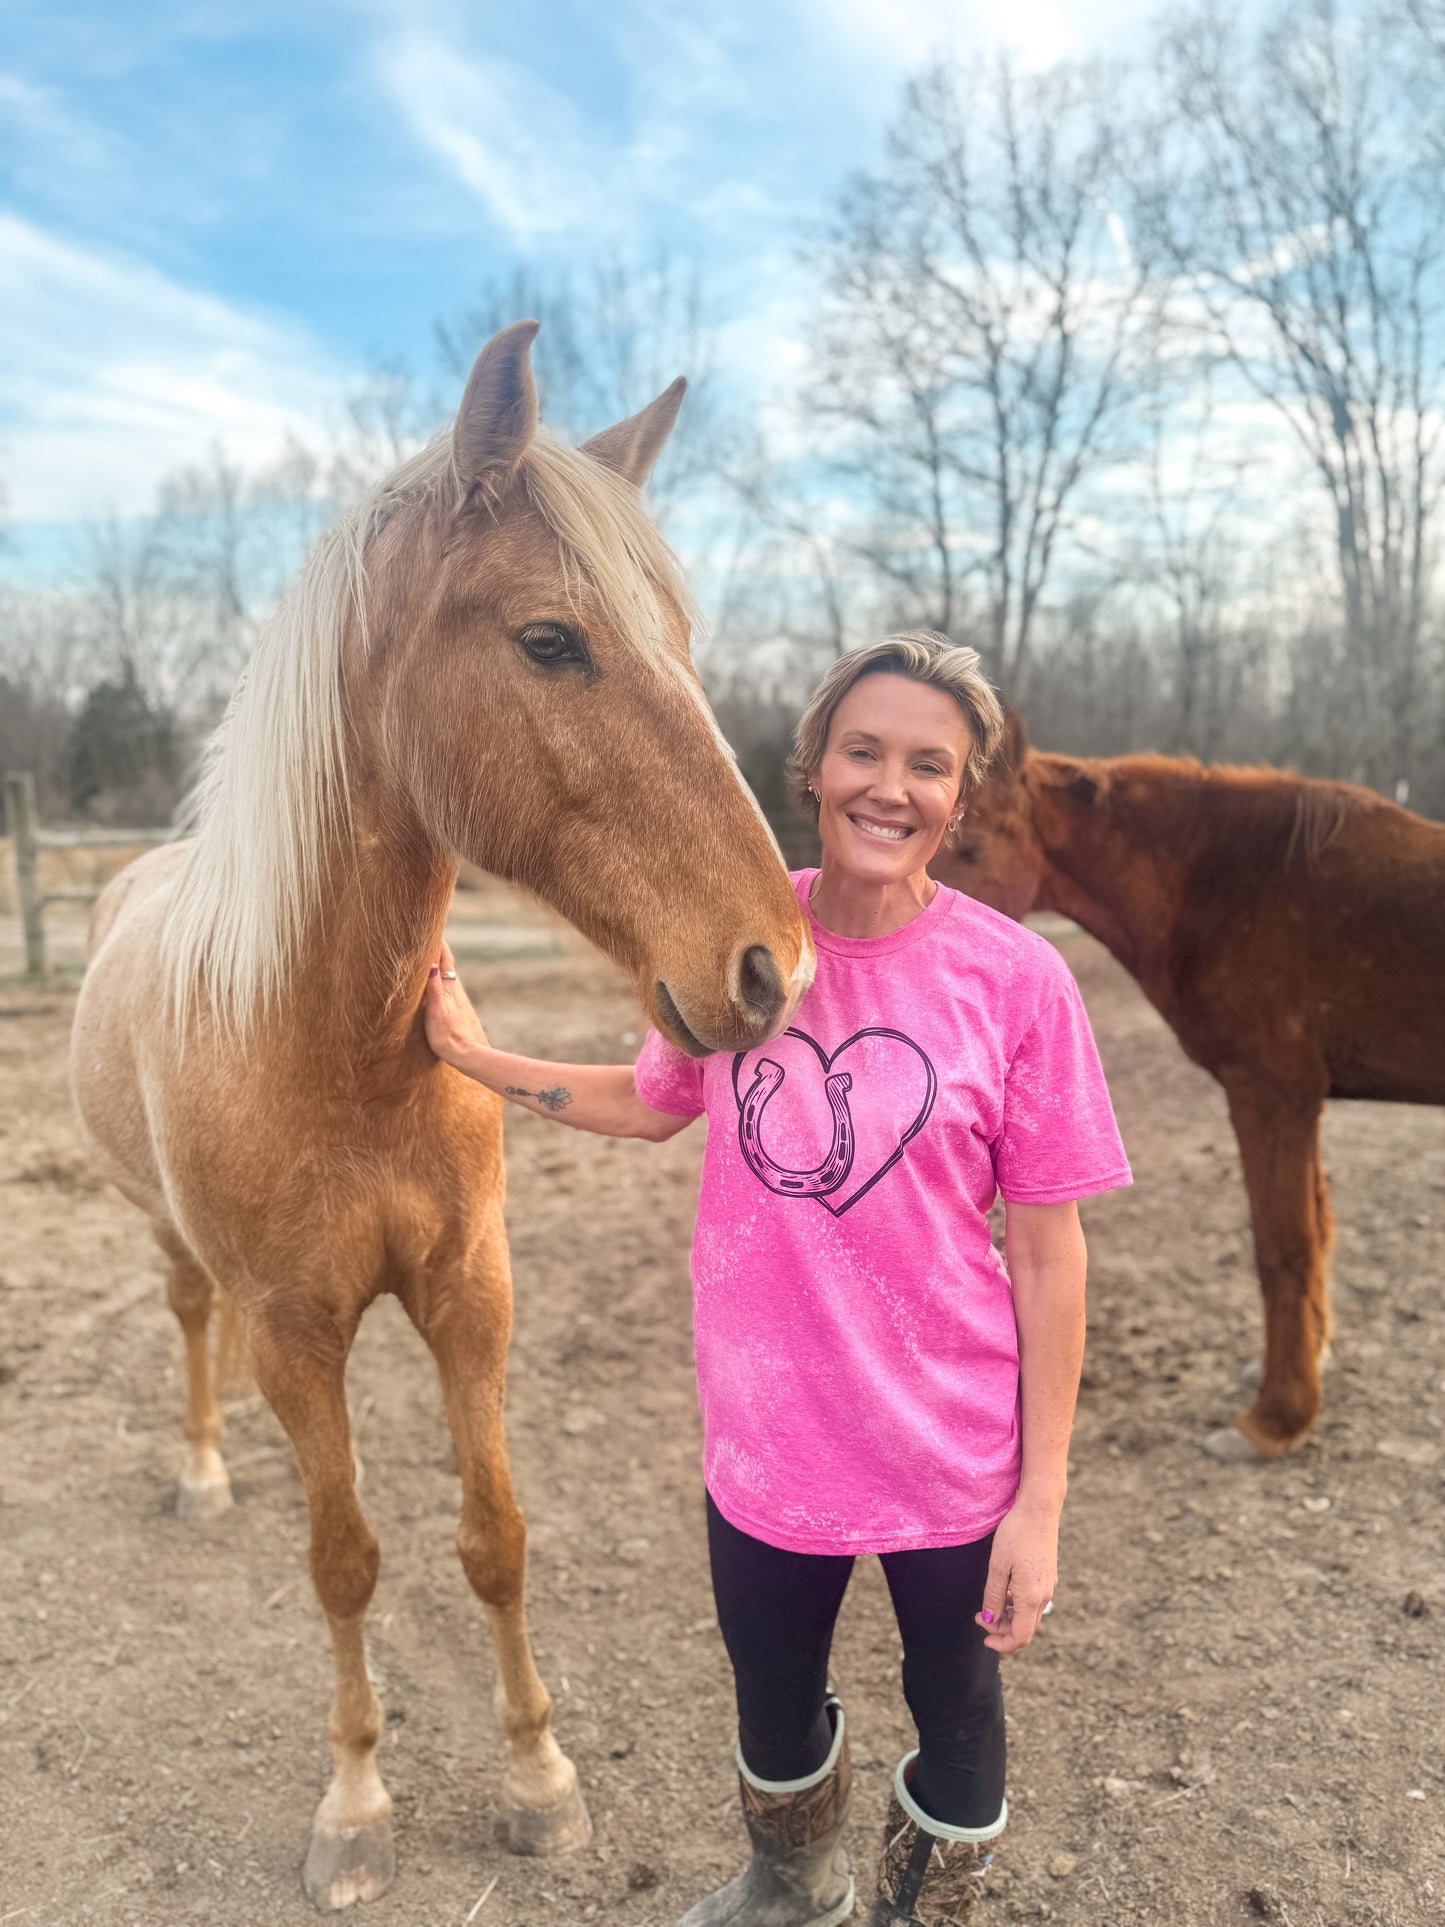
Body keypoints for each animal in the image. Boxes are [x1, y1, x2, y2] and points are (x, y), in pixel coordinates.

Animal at [69, 320, 813, 1912]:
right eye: (549, 641)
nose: (772, 967)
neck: (334, 1048)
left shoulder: (471, 1290)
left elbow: (494, 1534)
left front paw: (540, 1776)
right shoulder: (296, 1330)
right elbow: (345, 1556)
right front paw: (355, 1805)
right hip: (173, 1242)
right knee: (187, 1319)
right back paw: (203, 1470)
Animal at [933, 713, 1445, 1463]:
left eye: (970, 847)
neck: (1228, 883)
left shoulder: (1273, 1094)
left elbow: (1284, 1246)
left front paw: (1273, 1421)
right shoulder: (1298, 1101)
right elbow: (1315, 1228)